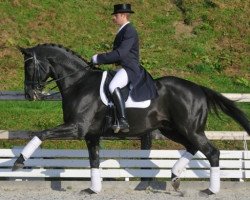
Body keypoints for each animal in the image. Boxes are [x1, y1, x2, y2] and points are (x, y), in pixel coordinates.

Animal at [14, 44, 250, 195]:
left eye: (29, 66)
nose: (30, 95)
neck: (79, 83)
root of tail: (198, 88)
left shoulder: (77, 128)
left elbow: (41, 134)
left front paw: (19, 162)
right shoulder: (91, 135)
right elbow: (94, 161)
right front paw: (93, 189)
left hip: (189, 129)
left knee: (212, 152)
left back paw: (210, 190)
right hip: (172, 129)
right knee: (193, 147)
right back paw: (174, 176)